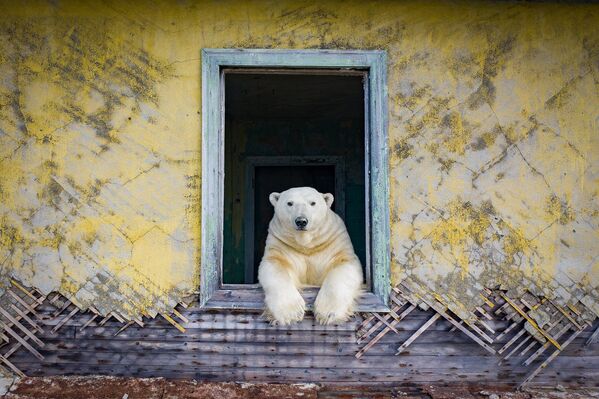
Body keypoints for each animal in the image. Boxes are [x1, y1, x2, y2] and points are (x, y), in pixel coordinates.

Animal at [256, 188, 364, 324]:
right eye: (289, 203)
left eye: (313, 203)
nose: (301, 221)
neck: (306, 245)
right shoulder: (280, 244)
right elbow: (275, 265)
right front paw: (291, 313)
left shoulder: (333, 241)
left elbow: (344, 264)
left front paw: (327, 313)